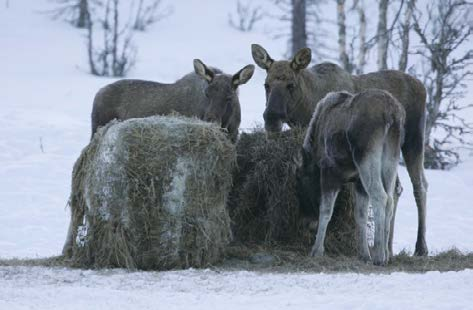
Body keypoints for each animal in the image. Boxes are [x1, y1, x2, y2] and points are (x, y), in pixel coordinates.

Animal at [88, 59, 253, 143]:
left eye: (230, 97)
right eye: (207, 93)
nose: (211, 120)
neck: (228, 124)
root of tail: (98, 93)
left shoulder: (234, 136)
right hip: (97, 125)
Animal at [296, 88, 404, 266]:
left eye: (300, 180)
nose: (305, 220)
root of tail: (392, 114)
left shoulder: (329, 172)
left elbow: (326, 211)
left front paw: (317, 250)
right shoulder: (358, 181)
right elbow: (360, 215)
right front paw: (363, 254)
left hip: (366, 157)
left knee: (380, 196)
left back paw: (379, 255)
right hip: (391, 157)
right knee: (390, 198)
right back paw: (386, 254)